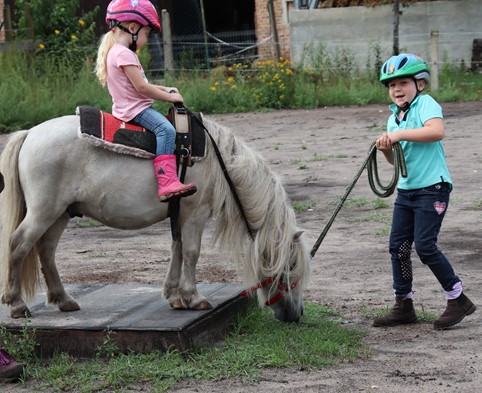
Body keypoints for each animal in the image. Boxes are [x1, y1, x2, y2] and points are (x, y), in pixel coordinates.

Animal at [0, 114, 308, 322]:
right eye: (291, 266)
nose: (296, 314)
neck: (217, 162)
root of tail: (29, 134)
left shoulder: (180, 214)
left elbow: (177, 250)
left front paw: (174, 296)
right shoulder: (195, 214)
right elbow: (192, 252)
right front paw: (194, 297)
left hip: (61, 213)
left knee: (46, 250)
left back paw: (63, 299)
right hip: (44, 211)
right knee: (18, 245)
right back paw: (17, 305)